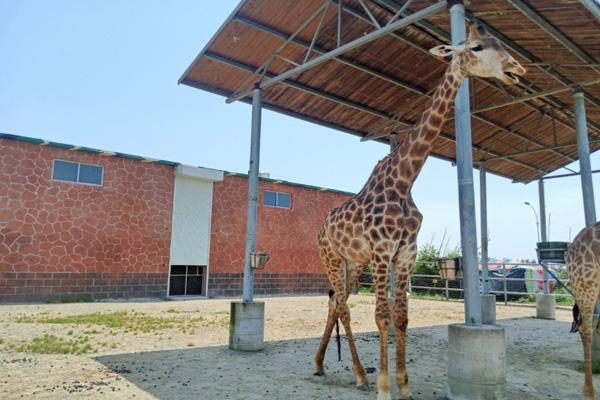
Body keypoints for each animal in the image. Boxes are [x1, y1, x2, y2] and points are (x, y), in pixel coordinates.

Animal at [314, 20, 524, 398]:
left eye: (499, 43)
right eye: (476, 47)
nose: (517, 69)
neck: (405, 181)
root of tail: (321, 228)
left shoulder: (405, 254)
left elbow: (401, 317)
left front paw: (404, 385)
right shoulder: (382, 252)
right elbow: (381, 315)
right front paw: (385, 387)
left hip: (352, 263)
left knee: (335, 304)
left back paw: (323, 364)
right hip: (332, 259)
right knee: (343, 307)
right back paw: (360, 374)